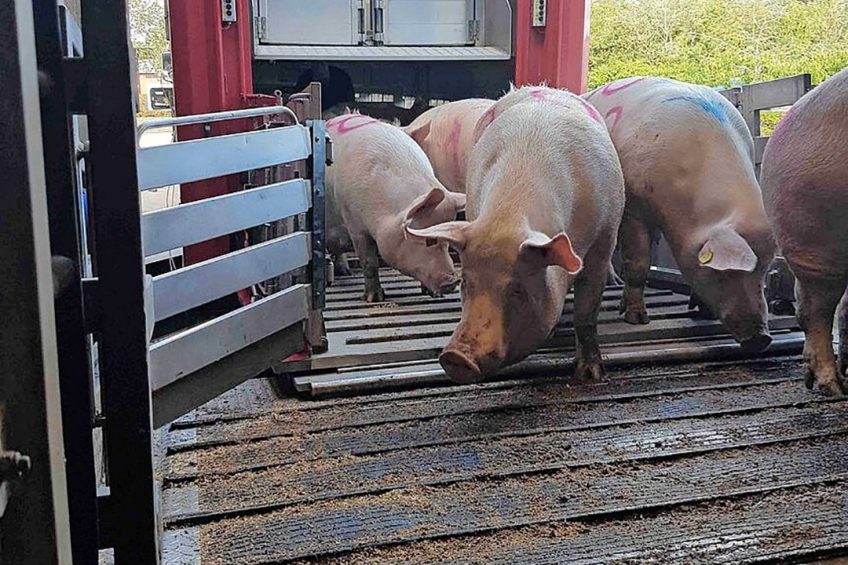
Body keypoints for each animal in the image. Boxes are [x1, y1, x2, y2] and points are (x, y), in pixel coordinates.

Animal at [324, 112, 468, 302]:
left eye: (445, 242)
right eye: (428, 240)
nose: (453, 281)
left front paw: (433, 295)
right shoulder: (354, 223)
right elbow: (369, 261)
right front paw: (374, 298)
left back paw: (346, 273)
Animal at [404, 85, 624, 384]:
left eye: (517, 289)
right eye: (465, 283)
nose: (456, 357)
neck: (508, 214)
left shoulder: (604, 235)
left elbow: (587, 312)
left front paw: (591, 376)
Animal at [588, 74, 780, 348]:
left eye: (764, 270)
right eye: (722, 274)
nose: (761, 338)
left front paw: (703, 313)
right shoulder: (634, 208)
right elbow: (638, 264)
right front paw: (637, 320)